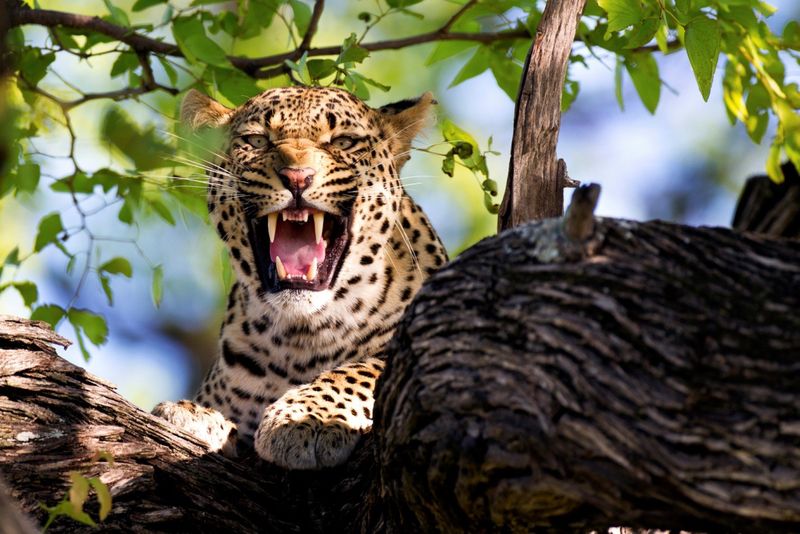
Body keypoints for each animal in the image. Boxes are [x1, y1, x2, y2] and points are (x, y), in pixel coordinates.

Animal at [152, 85, 447, 470]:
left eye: (344, 142)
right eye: (257, 140)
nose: (297, 177)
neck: (301, 337)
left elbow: (364, 370)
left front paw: (308, 418)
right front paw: (194, 414)